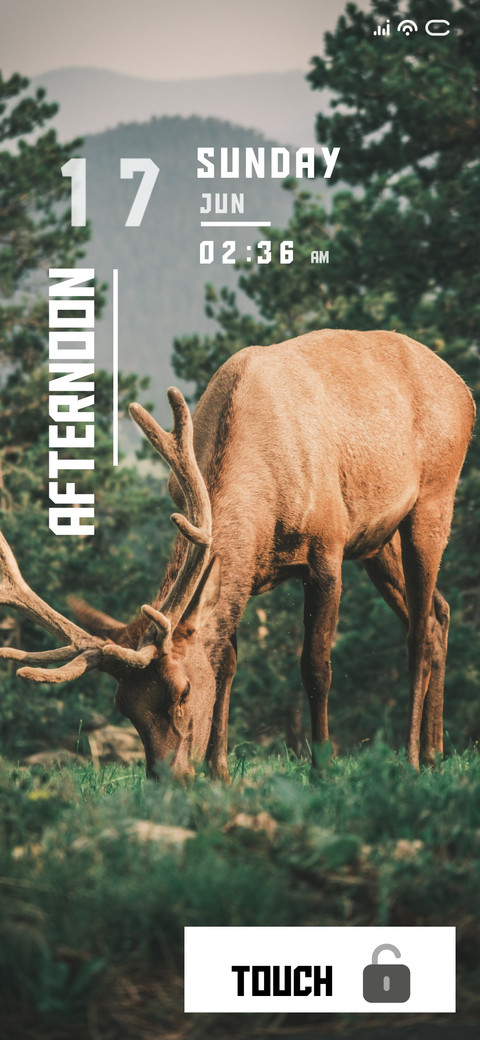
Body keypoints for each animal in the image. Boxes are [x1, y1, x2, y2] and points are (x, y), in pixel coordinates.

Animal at [0, 330, 475, 779]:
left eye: (182, 691)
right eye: (124, 707)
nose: (169, 778)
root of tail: (464, 390)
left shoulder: (327, 549)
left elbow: (316, 667)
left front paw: (322, 769)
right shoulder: (244, 573)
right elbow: (225, 663)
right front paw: (219, 770)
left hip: (433, 498)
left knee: (417, 632)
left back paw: (411, 758)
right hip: (377, 541)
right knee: (438, 612)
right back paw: (434, 753)